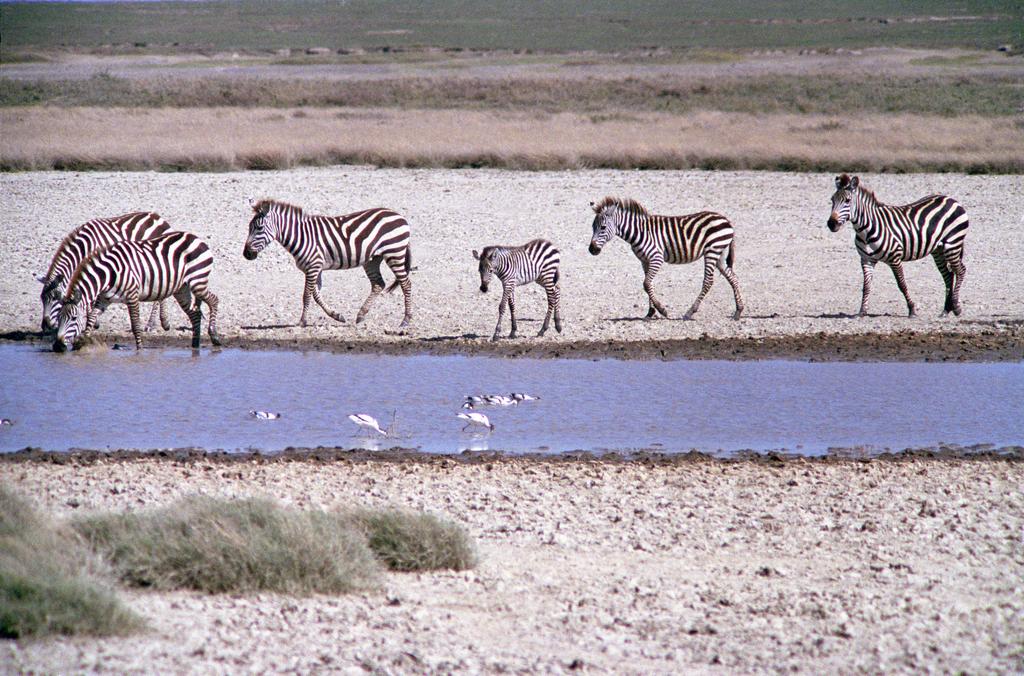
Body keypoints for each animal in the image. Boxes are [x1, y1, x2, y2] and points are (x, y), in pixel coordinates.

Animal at [39, 210, 172, 335]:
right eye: (42, 299)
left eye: (55, 298)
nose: (45, 327)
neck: (85, 246)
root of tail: (158, 217)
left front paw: (92, 322)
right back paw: (163, 322)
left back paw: (153, 324)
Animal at [53, 229, 220, 350]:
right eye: (59, 317)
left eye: (73, 318)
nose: (57, 346)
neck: (108, 275)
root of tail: (196, 238)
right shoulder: (104, 299)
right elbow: (91, 318)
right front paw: (84, 342)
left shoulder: (132, 296)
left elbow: (135, 325)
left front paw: (139, 349)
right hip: (181, 289)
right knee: (195, 314)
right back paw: (195, 345)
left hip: (198, 282)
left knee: (214, 300)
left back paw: (214, 336)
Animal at [241, 199, 413, 327]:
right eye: (249, 227)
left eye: (259, 228)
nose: (246, 254)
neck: (301, 236)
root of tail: (399, 216)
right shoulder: (313, 268)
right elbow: (316, 295)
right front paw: (337, 316)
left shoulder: (313, 266)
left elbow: (306, 295)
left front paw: (302, 321)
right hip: (373, 259)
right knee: (378, 284)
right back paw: (361, 315)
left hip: (394, 253)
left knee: (406, 284)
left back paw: (406, 320)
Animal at [585, 196, 745, 321]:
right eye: (592, 227)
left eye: (603, 227)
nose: (592, 250)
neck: (639, 232)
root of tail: (726, 220)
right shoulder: (645, 261)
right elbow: (649, 284)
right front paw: (650, 312)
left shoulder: (656, 258)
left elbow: (646, 283)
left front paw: (662, 310)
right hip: (720, 254)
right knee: (733, 278)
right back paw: (738, 311)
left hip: (712, 251)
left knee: (708, 281)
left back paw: (690, 312)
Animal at [827, 172, 970, 313]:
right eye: (832, 200)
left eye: (847, 200)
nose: (831, 224)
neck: (865, 230)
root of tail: (951, 199)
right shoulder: (866, 259)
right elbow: (866, 286)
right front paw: (862, 310)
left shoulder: (895, 258)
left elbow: (902, 284)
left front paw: (912, 309)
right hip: (938, 250)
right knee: (948, 275)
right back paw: (946, 309)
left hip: (953, 244)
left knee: (960, 270)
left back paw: (956, 307)